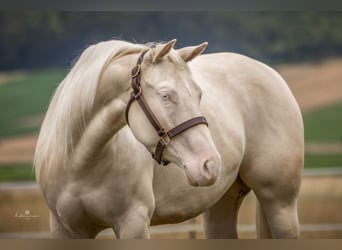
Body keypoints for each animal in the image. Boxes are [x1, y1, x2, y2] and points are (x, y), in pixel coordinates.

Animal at [33, 39, 304, 238]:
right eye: (166, 95)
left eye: (199, 94)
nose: (210, 164)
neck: (80, 163)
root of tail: (271, 73)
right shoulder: (66, 229)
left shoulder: (133, 224)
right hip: (222, 203)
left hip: (280, 203)